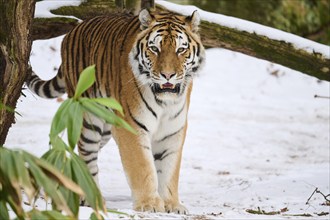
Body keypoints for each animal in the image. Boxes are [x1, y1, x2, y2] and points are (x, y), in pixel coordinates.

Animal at [26, 9, 204, 214]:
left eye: (181, 50)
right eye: (154, 49)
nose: (168, 75)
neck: (165, 103)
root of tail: (73, 30)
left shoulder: (173, 131)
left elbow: (169, 170)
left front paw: (172, 204)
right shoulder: (131, 126)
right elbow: (142, 167)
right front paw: (149, 204)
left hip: (106, 128)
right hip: (88, 118)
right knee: (86, 154)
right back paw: (89, 196)